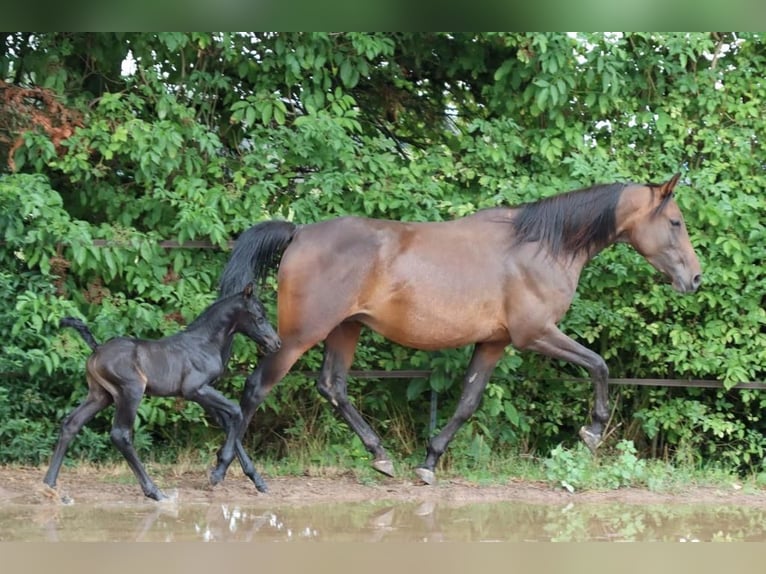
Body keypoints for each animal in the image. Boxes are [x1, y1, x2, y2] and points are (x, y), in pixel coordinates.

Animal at [43, 286, 282, 502]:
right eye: (259, 317)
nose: (276, 343)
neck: (204, 343)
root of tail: (97, 349)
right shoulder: (195, 389)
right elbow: (236, 412)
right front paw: (217, 474)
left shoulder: (202, 394)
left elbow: (227, 419)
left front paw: (255, 480)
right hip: (130, 392)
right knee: (121, 435)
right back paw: (155, 492)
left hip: (100, 395)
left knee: (71, 424)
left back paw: (50, 486)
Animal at [212, 174, 704, 486]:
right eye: (675, 222)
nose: (696, 279)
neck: (541, 246)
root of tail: (298, 233)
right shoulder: (536, 333)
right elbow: (599, 366)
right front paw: (593, 432)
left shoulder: (494, 342)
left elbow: (468, 402)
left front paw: (429, 462)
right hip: (298, 337)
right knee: (254, 390)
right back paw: (228, 469)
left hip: (345, 329)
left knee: (333, 386)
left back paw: (382, 457)